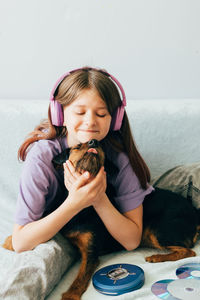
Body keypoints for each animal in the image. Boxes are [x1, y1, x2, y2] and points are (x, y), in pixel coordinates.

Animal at [1, 139, 200, 300]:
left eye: (102, 147)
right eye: (77, 146)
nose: (94, 141)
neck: (82, 205)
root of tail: (195, 212)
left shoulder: (90, 253)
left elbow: (80, 277)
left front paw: (70, 295)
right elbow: (39, 221)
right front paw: (10, 241)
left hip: (157, 230)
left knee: (188, 251)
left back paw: (157, 257)